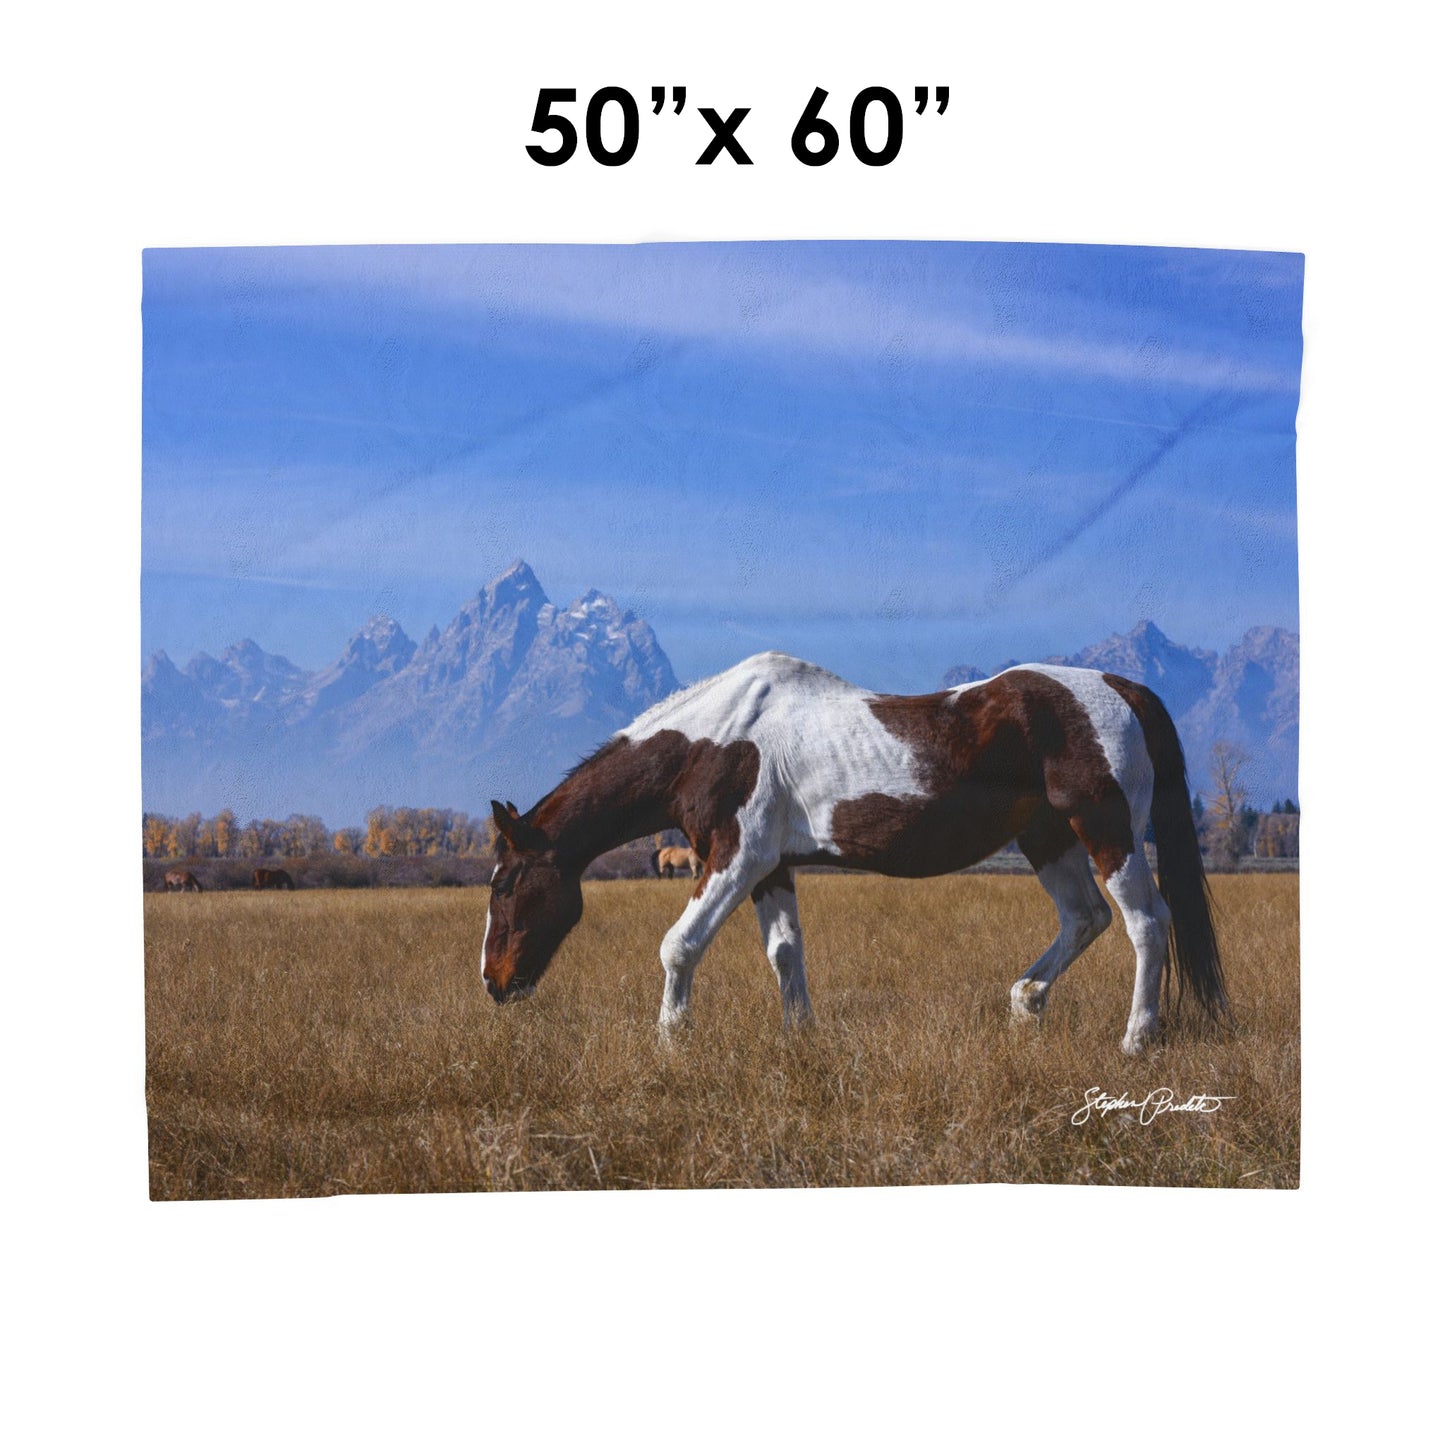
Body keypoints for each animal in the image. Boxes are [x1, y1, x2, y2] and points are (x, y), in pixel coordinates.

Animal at [481, 651, 1227, 1054]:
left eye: (505, 884)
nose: (494, 983)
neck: (713, 740)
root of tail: (1121, 687)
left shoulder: (734, 857)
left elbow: (678, 945)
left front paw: (669, 1042)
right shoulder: (770, 867)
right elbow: (785, 953)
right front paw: (799, 1036)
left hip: (1107, 831)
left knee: (1145, 923)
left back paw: (1134, 1039)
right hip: (1048, 839)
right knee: (1084, 919)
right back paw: (1026, 1001)